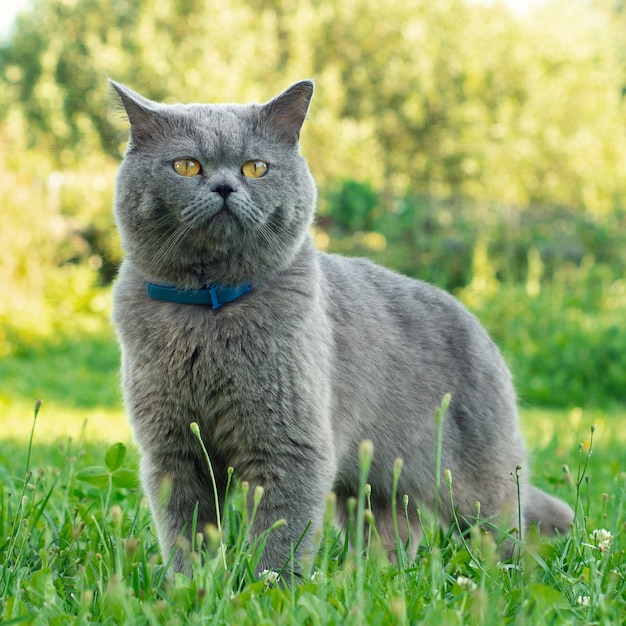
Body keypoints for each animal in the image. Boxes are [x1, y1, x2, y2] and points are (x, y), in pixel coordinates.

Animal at [109, 79, 572, 576]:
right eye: (186, 165)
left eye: (256, 167)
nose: (225, 186)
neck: (208, 308)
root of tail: (480, 328)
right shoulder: (173, 450)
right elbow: (186, 532)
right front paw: (189, 583)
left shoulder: (291, 445)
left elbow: (280, 536)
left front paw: (268, 585)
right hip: (378, 482)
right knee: (394, 529)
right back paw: (377, 574)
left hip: (475, 483)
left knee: (506, 530)